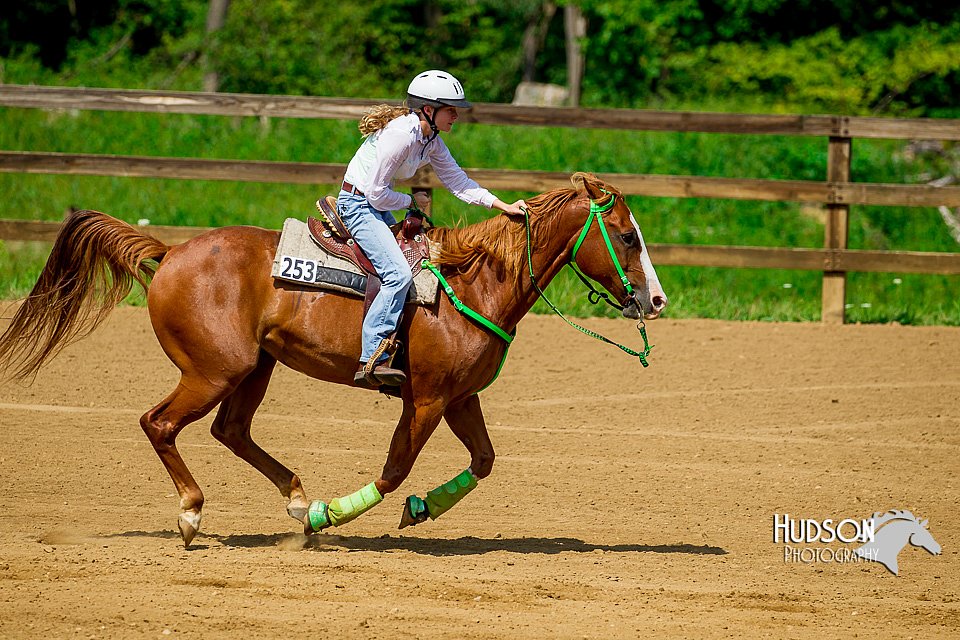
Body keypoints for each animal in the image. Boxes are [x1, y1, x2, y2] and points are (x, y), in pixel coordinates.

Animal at [0, 172, 668, 548]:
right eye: (627, 237)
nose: (656, 300)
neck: (474, 283)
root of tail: (169, 253)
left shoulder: (460, 398)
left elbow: (483, 461)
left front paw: (420, 508)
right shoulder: (426, 399)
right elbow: (395, 468)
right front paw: (332, 516)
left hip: (255, 367)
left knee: (230, 430)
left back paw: (295, 497)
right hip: (214, 370)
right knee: (160, 423)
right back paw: (194, 515)